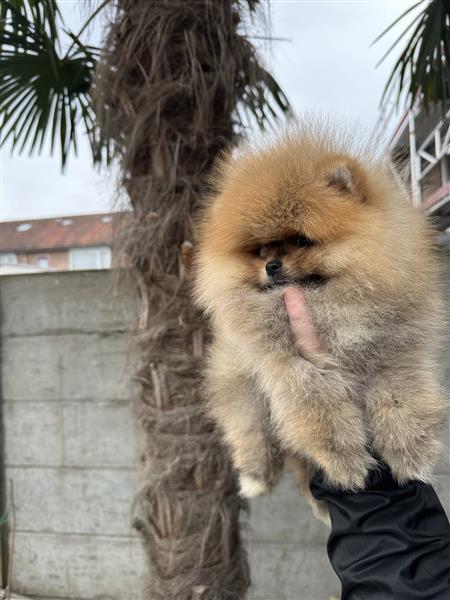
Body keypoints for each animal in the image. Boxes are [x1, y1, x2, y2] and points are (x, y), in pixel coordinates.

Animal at [193, 123, 446, 520]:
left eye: (300, 240)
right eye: (260, 250)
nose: (271, 265)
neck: (332, 305)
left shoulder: (395, 354)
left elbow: (401, 401)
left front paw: (411, 454)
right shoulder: (295, 368)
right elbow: (322, 413)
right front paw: (346, 463)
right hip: (239, 386)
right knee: (252, 434)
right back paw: (257, 478)